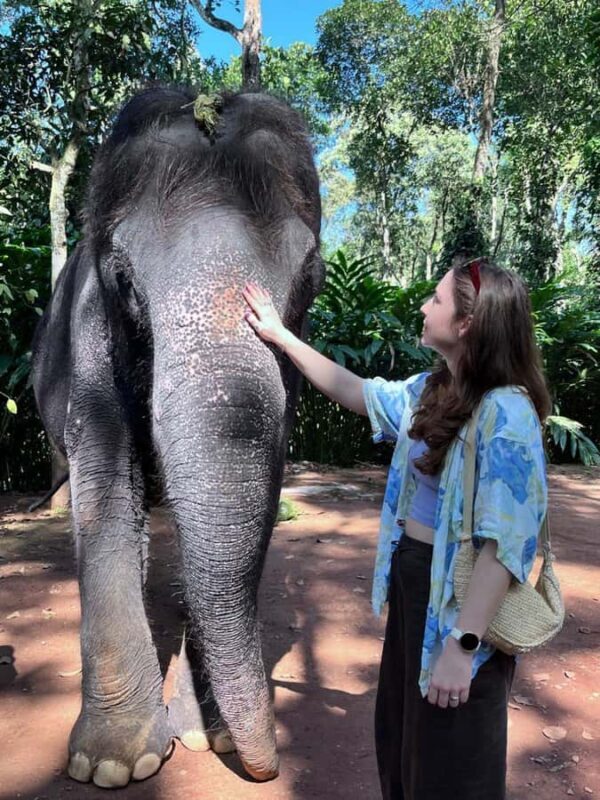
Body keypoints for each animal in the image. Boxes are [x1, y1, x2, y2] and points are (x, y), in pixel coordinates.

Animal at [31, 85, 324, 788]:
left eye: (314, 277)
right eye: (121, 278)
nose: (270, 767)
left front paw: (207, 737)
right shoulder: (91, 331)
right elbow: (105, 471)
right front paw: (114, 764)